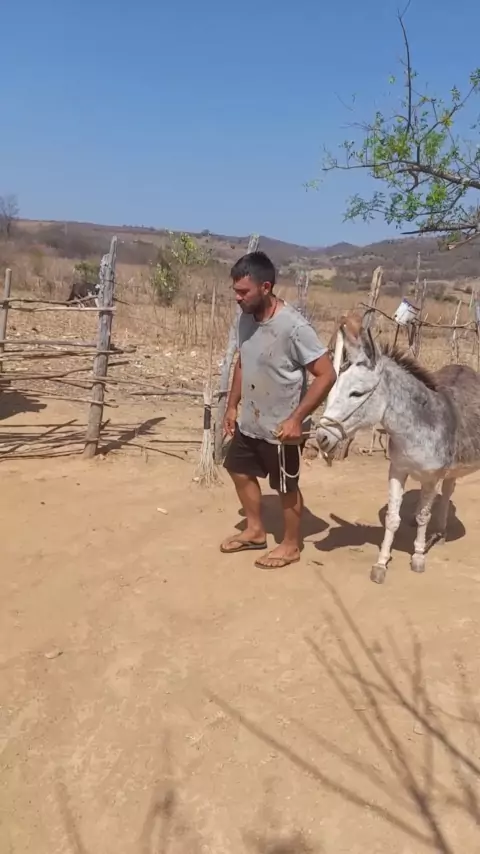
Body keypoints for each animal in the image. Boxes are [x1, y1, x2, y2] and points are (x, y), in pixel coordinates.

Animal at [316, 312, 480, 584]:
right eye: (333, 389)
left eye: (356, 393)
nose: (320, 437)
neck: (413, 430)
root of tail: (463, 366)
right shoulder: (397, 470)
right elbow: (393, 519)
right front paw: (381, 563)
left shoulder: (431, 477)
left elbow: (424, 516)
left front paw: (418, 557)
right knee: (447, 490)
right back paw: (440, 532)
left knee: (442, 495)